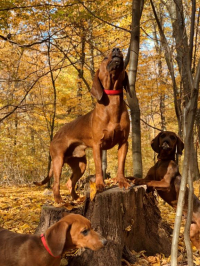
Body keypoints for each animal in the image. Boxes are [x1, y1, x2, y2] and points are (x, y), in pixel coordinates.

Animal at [34, 47, 131, 202]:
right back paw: (59, 201)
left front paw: (122, 182)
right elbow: (99, 167)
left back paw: (76, 198)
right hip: (58, 160)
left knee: (69, 182)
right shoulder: (97, 145)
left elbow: (121, 165)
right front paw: (100, 185)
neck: (112, 102)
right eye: (105, 58)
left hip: (80, 164)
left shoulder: (123, 142)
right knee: (56, 184)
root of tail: (56, 135)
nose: (116, 49)